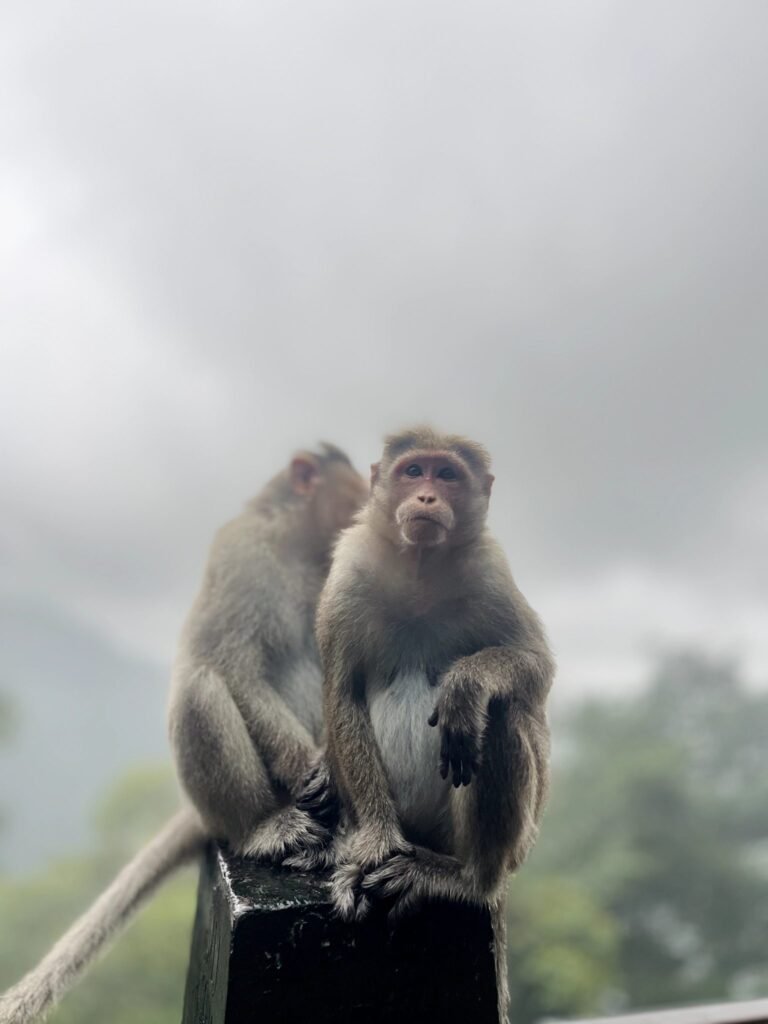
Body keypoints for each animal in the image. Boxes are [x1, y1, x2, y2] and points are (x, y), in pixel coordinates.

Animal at [0, 444, 368, 1024]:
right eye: (354, 503)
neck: (298, 547)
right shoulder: (242, 555)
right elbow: (234, 665)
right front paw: (308, 772)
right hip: (215, 799)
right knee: (202, 683)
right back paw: (265, 825)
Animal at [316, 427, 554, 1019]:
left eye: (446, 475)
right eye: (413, 471)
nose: (426, 496)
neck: (419, 567)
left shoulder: (491, 569)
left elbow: (535, 668)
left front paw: (465, 685)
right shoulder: (348, 572)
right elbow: (343, 692)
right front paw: (374, 843)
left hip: (498, 841)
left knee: (503, 710)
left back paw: (468, 881)